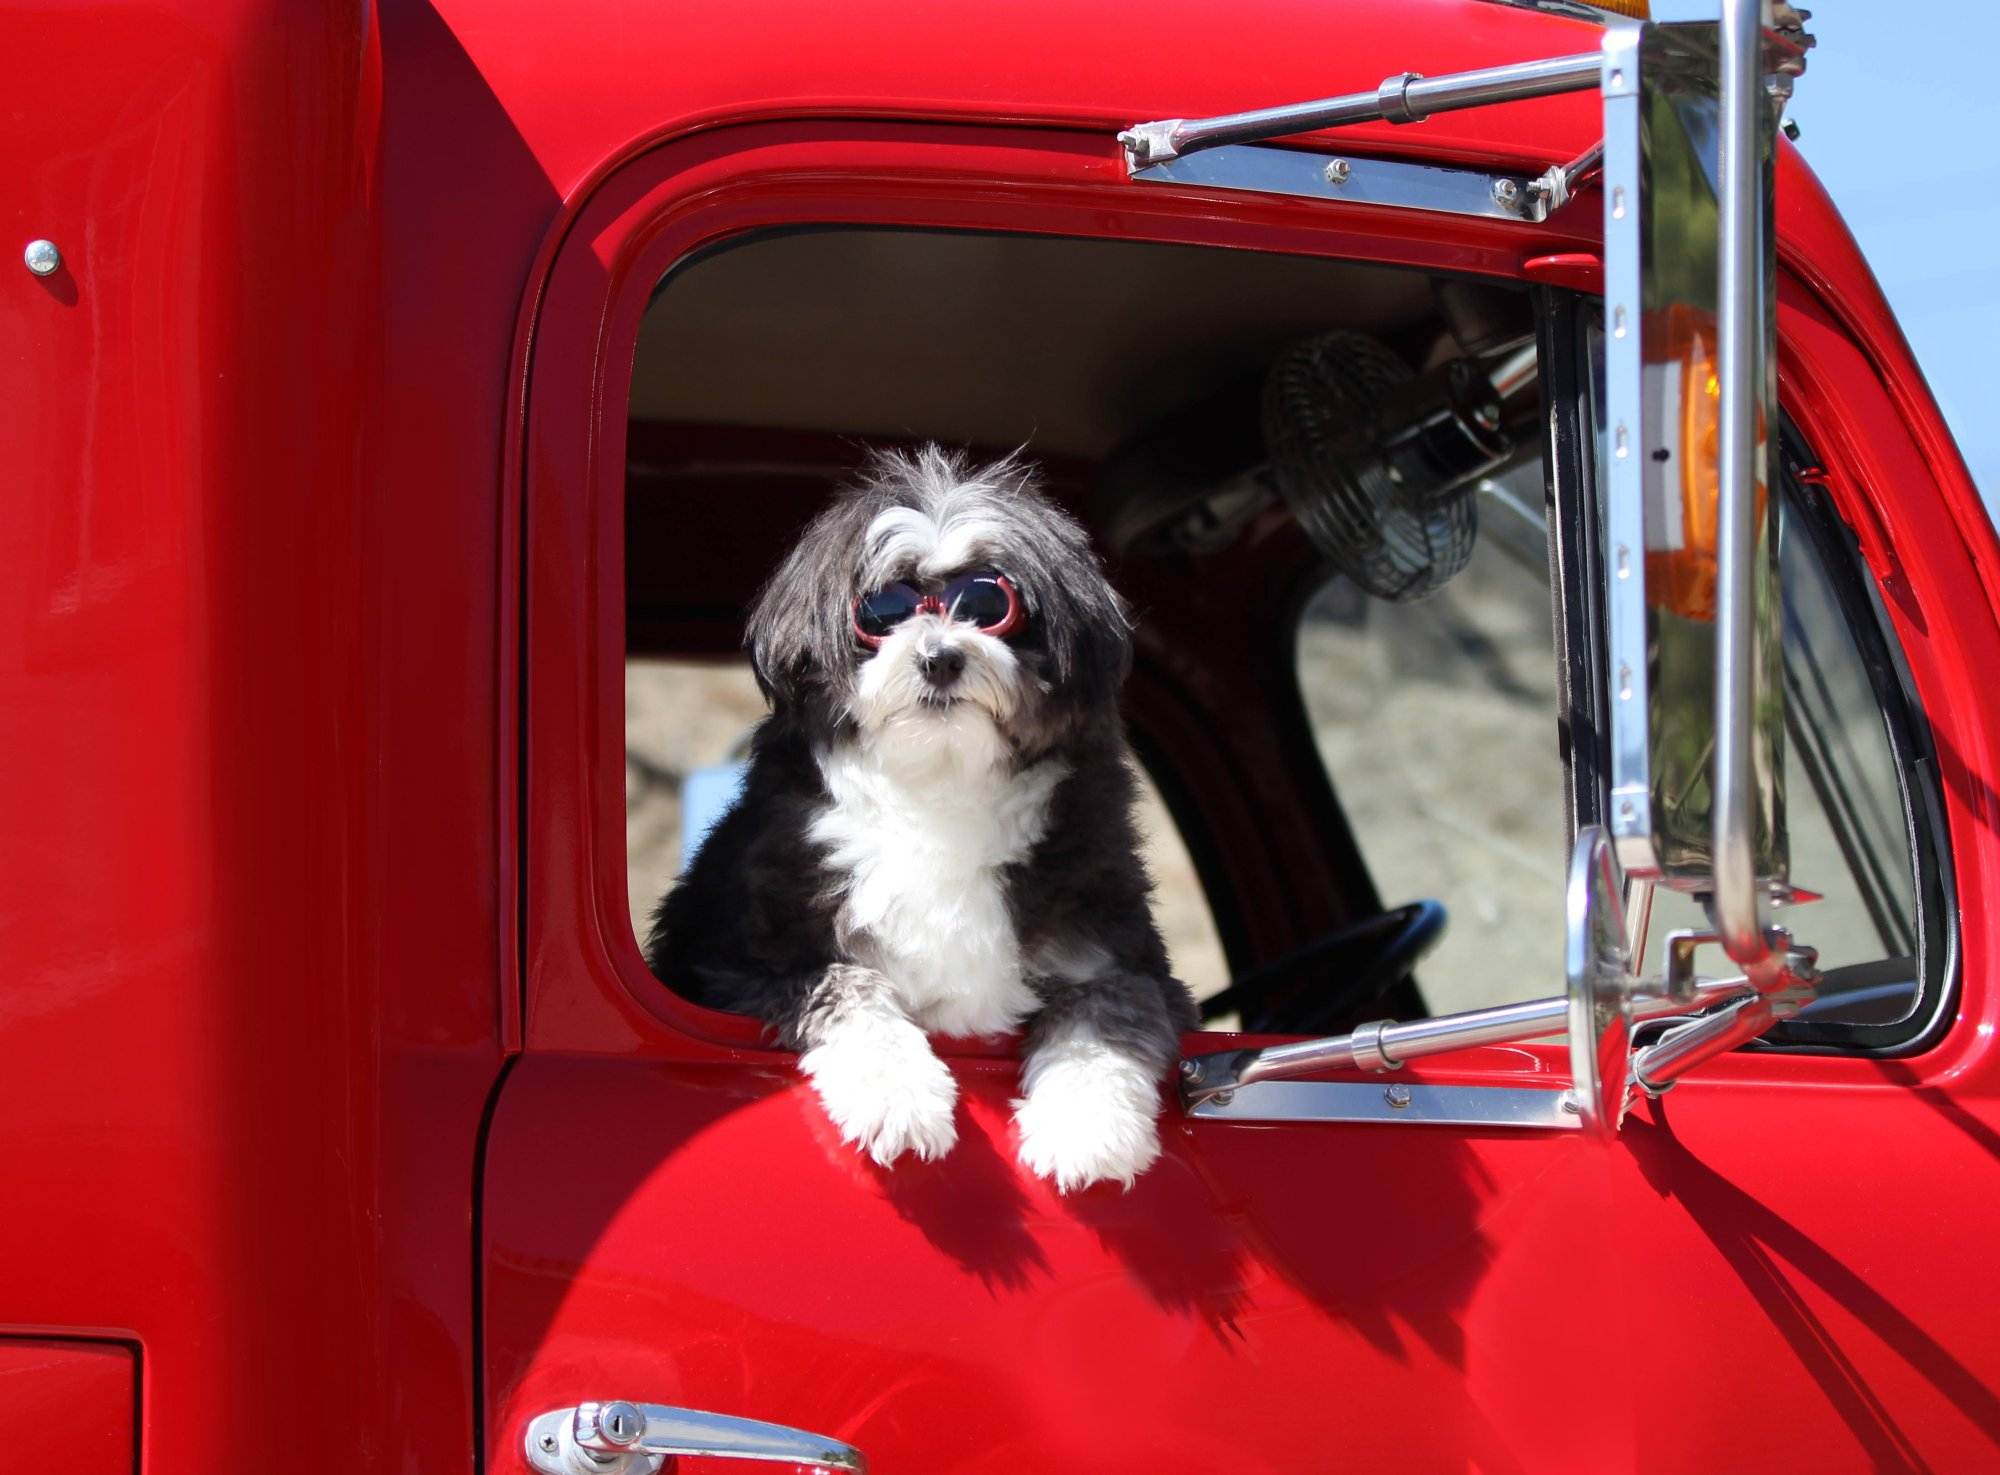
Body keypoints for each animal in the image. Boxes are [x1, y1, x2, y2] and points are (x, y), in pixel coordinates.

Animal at [648, 441, 1192, 1191]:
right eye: (883, 611)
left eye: (991, 604)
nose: (939, 657)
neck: (940, 782)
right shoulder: (743, 963)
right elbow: (852, 989)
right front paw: (898, 1098)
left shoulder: (1122, 956)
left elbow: (1105, 1019)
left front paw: (1086, 1129)